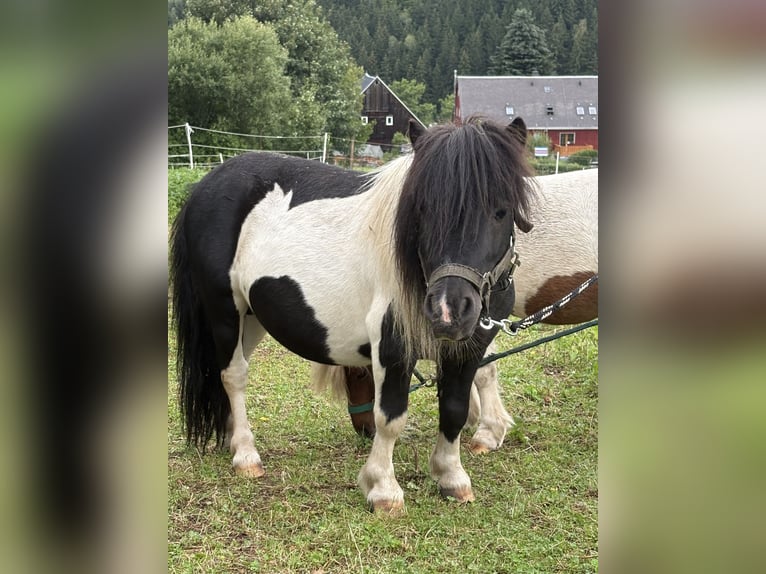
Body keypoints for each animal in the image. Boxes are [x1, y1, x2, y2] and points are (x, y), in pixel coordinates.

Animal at [170, 116, 535, 513]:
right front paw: (383, 489)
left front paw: (452, 477)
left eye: (500, 210)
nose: (447, 310)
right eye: (422, 209)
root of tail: (205, 186)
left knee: (225, 372)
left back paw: (232, 438)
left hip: (251, 319)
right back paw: (246, 455)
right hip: (225, 311)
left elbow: (454, 410)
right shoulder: (393, 346)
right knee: (234, 374)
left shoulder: (469, 348)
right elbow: (390, 417)